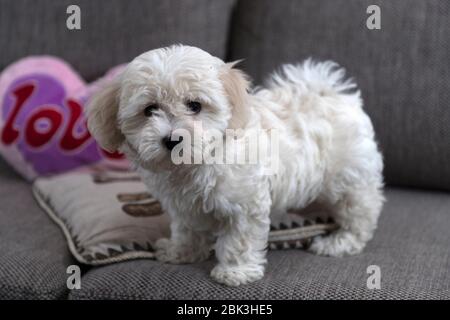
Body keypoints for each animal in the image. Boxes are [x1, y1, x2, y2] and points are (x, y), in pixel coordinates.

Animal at [87, 44, 384, 284]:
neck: (193, 164)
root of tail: (329, 93)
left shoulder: (245, 203)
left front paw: (235, 271)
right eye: (150, 110)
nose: (172, 139)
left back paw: (340, 242)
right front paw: (181, 251)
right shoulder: (184, 206)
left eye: (195, 105)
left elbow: (239, 239)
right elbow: (187, 229)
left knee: (361, 212)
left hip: (347, 177)